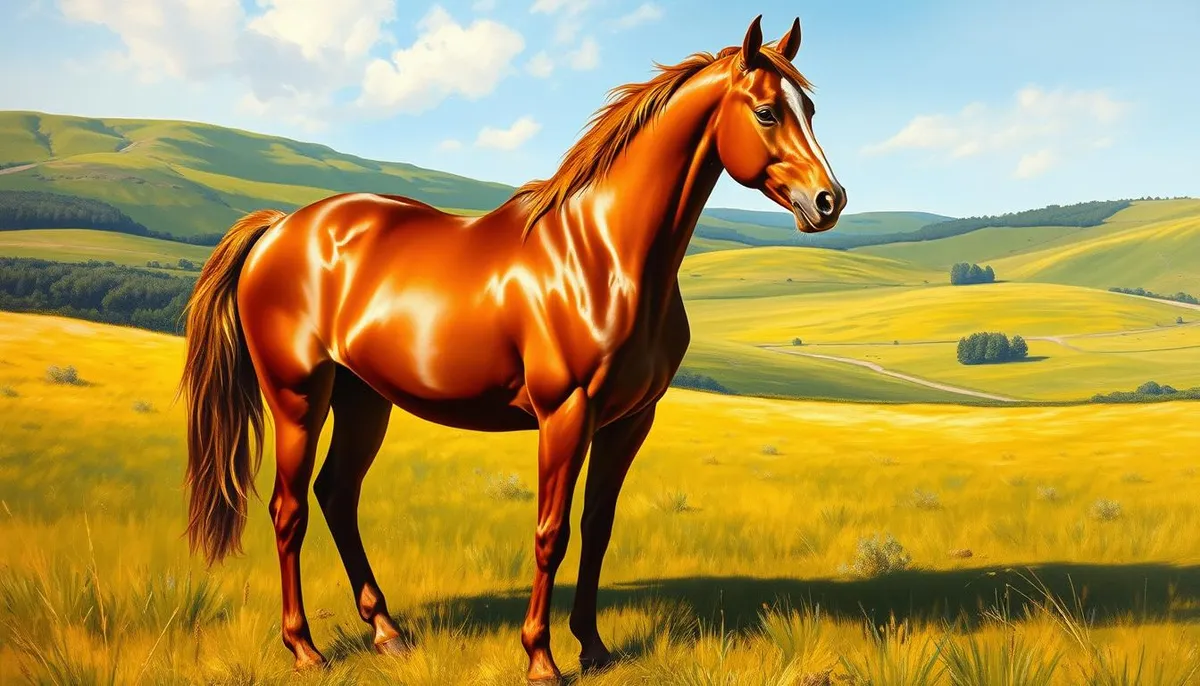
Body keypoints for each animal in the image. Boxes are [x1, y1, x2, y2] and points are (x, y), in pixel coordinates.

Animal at [179, 14, 845, 683]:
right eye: (766, 112)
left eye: (812, 108)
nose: (829, 201)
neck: (604, 254)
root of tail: (279, 228)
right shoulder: (566, 414)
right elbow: (552, 533)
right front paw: (541, 657)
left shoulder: (629, 421)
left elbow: (597, 528)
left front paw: (593, 646)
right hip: (297, 397)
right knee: (288, 510)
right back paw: (305, 648)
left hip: (364, 399)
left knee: (337, 495)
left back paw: (388, 632)